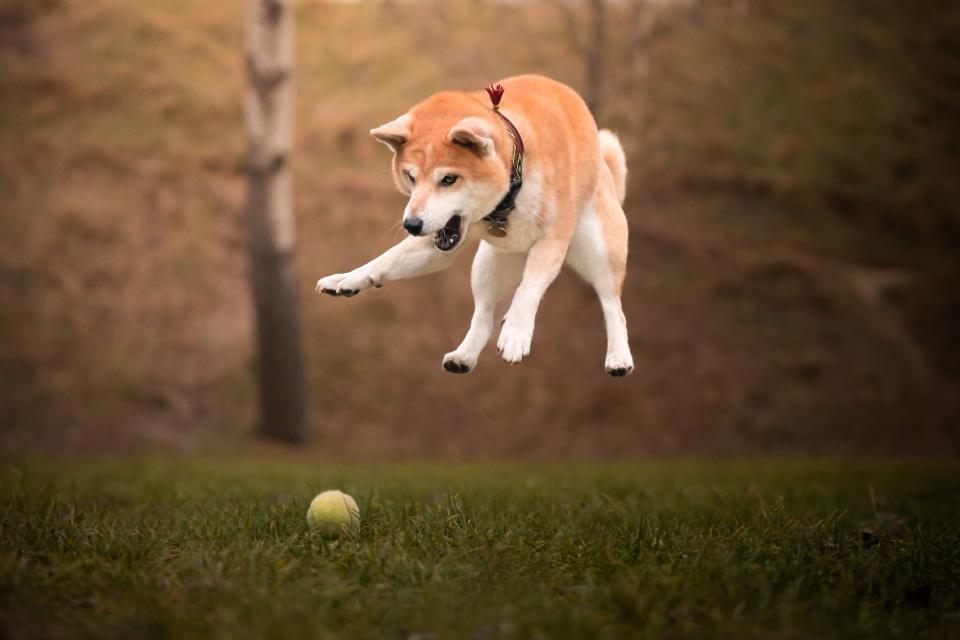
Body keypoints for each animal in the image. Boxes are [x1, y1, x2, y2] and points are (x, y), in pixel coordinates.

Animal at [316, 74, 632, 376]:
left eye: (449, 179)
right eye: (410, 177)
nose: (411, 224)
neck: (511, 190)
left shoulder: (552, 239)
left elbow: (528, 289)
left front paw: (516, 332)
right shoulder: (436, 242)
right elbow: (386, 259)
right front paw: (349, 278)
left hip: (599, 251)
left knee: (612, 306)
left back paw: (618, 358)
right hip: (487, 265)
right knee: (483, 315)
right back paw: (463, 356)